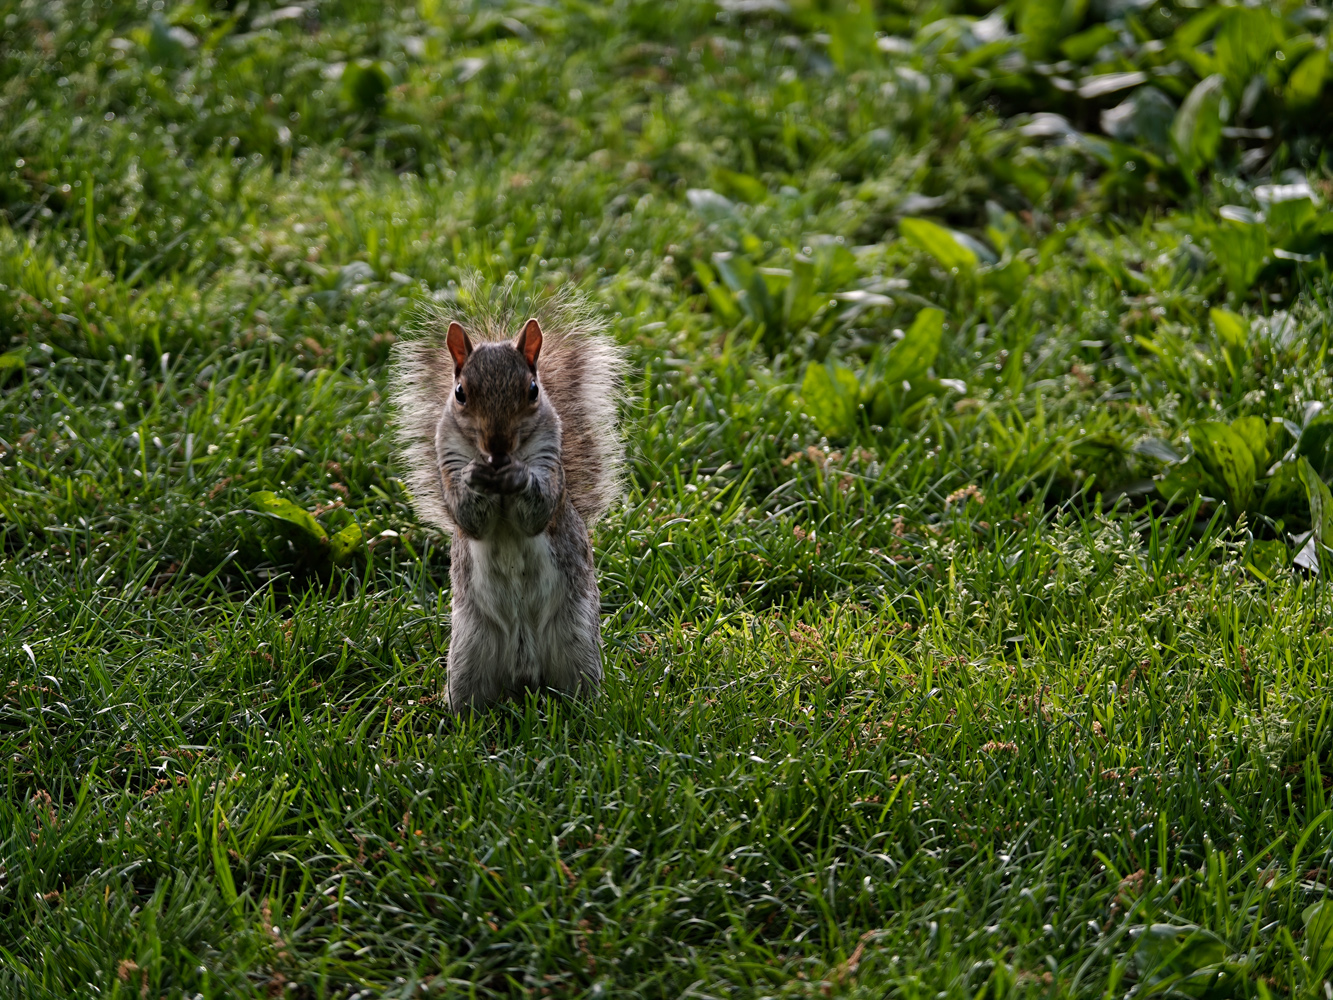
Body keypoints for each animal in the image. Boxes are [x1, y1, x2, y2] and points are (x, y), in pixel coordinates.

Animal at [389, 289, 624, 714]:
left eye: (533, 389)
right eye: (460, 393)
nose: (497, 445)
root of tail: (524, 676)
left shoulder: (549, 464)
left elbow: (538, 512)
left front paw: (518, 477)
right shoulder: (449, 460)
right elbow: (470, 519)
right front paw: (474, 478)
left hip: (577, 644)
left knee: (579, 691)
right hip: (468, 656)